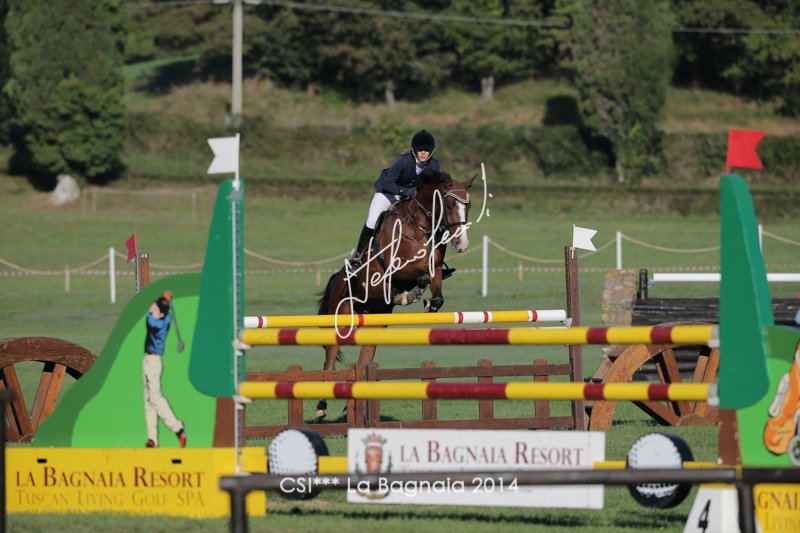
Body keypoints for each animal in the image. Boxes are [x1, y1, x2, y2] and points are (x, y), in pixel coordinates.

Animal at [314, 169, 475, 421]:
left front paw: (426, 301)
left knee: (364, 357)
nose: (462, 244)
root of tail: (338, 277)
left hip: (375, 322)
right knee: (330, 360)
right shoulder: (397, 267)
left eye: (468, 206)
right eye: (449, 205)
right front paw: (409, 293)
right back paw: (321, 407)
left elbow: (436, 290)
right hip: (342, 318)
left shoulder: (435, 268)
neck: (420, 227)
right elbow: (419, 275)